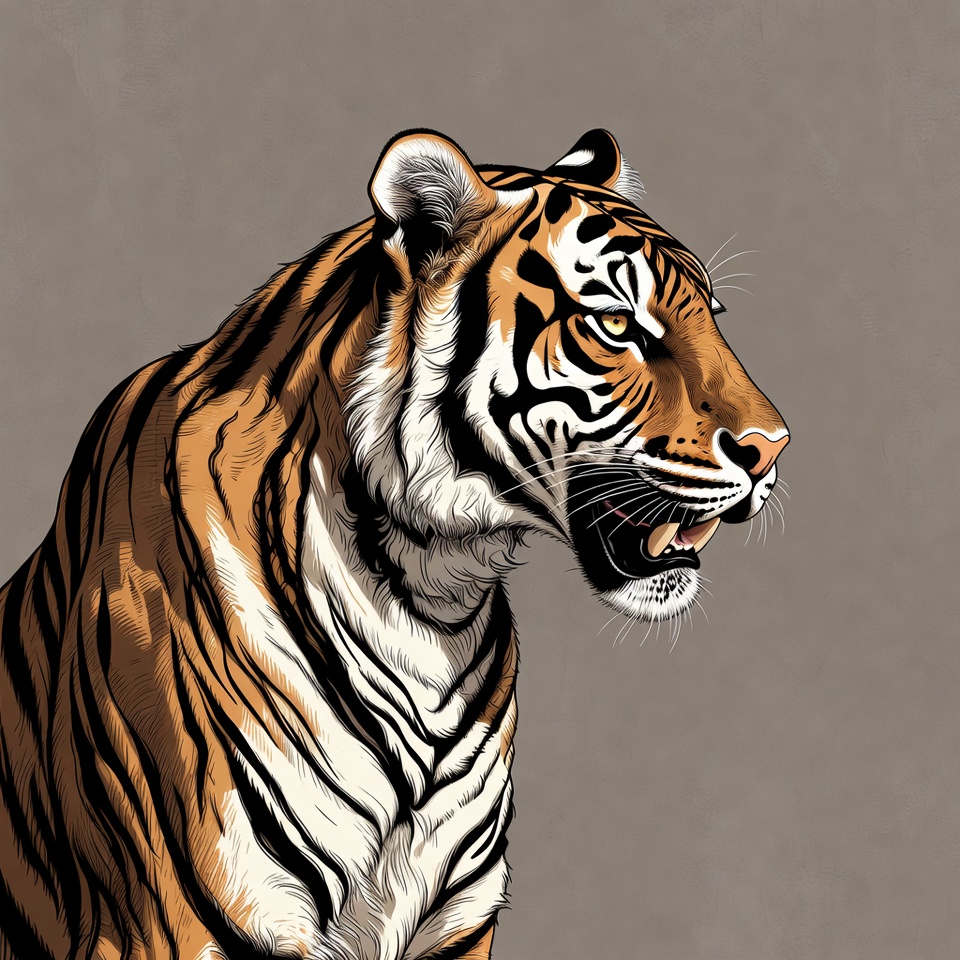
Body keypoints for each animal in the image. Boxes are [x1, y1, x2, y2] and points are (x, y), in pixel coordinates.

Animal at [0, 128, 788, 960]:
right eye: (615, 323)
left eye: (712, 313)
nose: (773, 447)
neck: (428, 594)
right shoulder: (174, 927)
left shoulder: (457, 924)